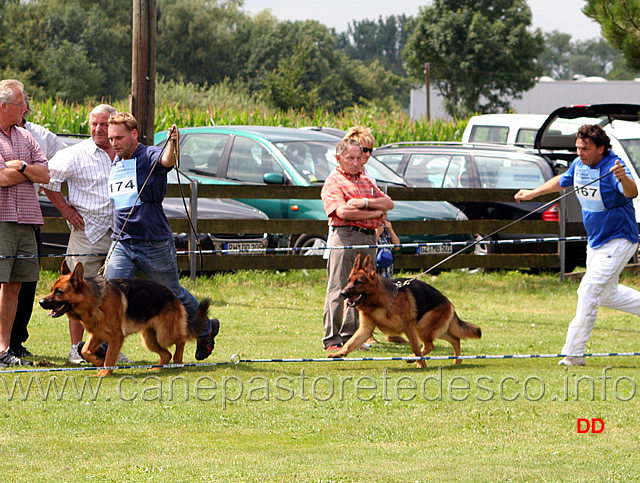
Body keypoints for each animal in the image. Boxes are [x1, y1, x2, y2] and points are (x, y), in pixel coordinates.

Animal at [39, 262, 210, 376]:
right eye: (51, 290)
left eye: (58, 292)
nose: (40, 302)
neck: (94, 300)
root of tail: (173, 295)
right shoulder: (98, 334)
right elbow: (85, 350)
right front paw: (98, 362)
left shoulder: (116, 336)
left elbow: (109, 357)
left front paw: (104, 372)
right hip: (149, 339)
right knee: (166, 354)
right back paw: (157, 368)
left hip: (164, 335)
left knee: (181, 339)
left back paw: (178, 359)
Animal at [330, 255, 480, 368]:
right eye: (349, 281)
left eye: (358, 282)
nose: (342, 293)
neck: (379, 301)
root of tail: (448, 302)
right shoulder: (365, 330)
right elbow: (350, 343)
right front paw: (339, 353)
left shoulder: (409, 327)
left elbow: (415, 346)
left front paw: (421, 364)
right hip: (432, 329)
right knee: (454, 339)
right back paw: (457, 360)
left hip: (423, 327)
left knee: (430, 345)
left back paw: (415, 358)